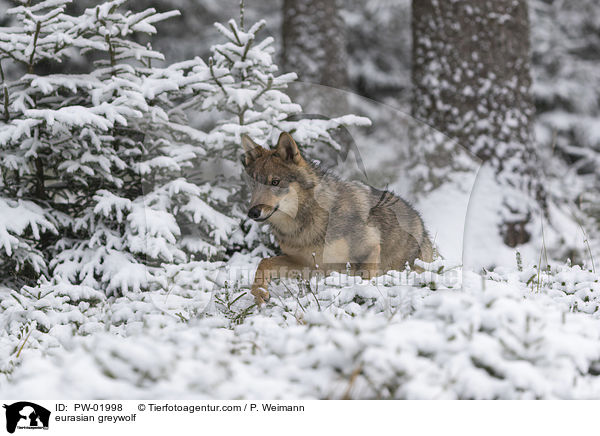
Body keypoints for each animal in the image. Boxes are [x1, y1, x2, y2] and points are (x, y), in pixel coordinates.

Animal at [241, 131, 434, 304]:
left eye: (275, 182)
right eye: (254, 185)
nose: (253, 212)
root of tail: (422, 227)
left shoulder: (369, 250)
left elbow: (364, 284)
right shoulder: (306, 264)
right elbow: (264, 262)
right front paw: (259, 293)